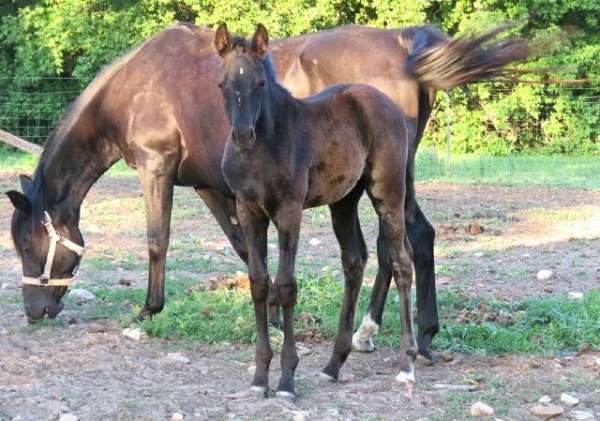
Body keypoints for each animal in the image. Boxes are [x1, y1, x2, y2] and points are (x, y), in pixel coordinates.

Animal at [7, 22, 528, 358]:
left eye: (29, 245)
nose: (33, 311)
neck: (138, 85)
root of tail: (405, 45)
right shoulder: (211, 185)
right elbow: (243, 245)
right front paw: (275, 316)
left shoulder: (157, 169)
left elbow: (157, 240)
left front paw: (148, 312)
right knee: (408, 239)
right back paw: (400, 333)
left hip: (384, 180)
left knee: (405, 240)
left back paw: (392, 334)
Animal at [216, 23, 418, 400]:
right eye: (222, 83)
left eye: (260, 83)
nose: (243, 135)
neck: (264, 148)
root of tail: (392, 106)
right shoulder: (248, 210)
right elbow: (259, 283)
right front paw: (259, 378)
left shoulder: (289, 210)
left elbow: (285, 285)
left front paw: (286, 381)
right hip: (344, 200)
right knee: (354, 261)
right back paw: (333, 365)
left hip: (388, 192)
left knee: (401, 261)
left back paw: (406, 364)